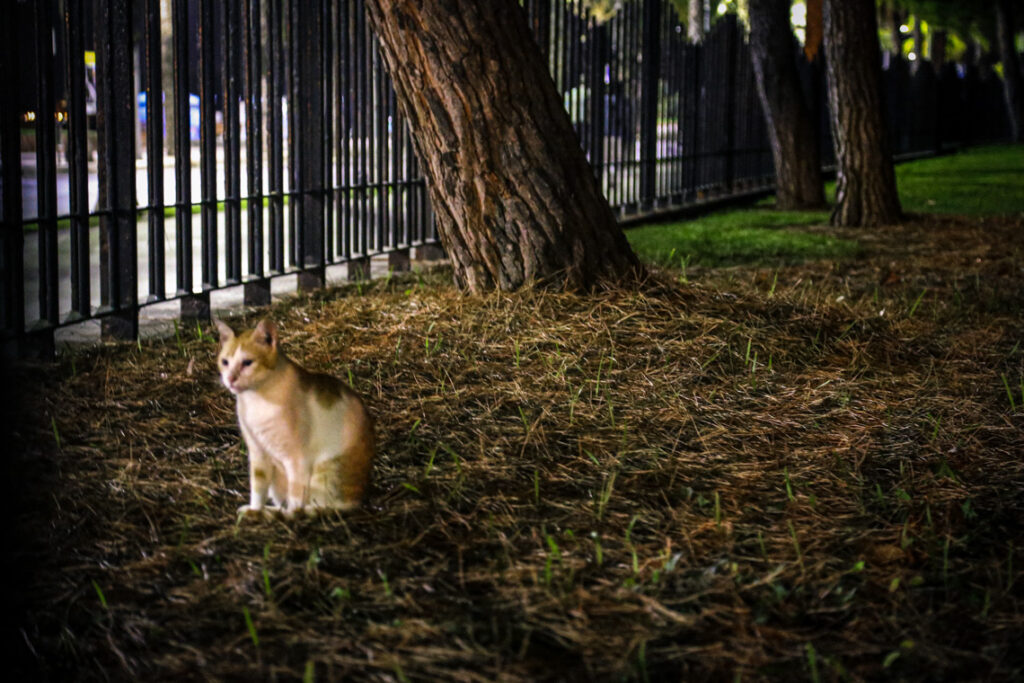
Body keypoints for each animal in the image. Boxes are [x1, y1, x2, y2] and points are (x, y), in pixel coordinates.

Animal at [215, 319, 376, 518]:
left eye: (247, 362)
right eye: (225, 362)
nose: (230, 379)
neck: (256, 399)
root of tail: (360, 499)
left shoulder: (296, 458)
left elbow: (295, 499)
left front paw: (288, 516)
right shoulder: (257, 452)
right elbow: (258, 488)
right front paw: (255, 510)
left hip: (325, 473)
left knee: (322, 507)